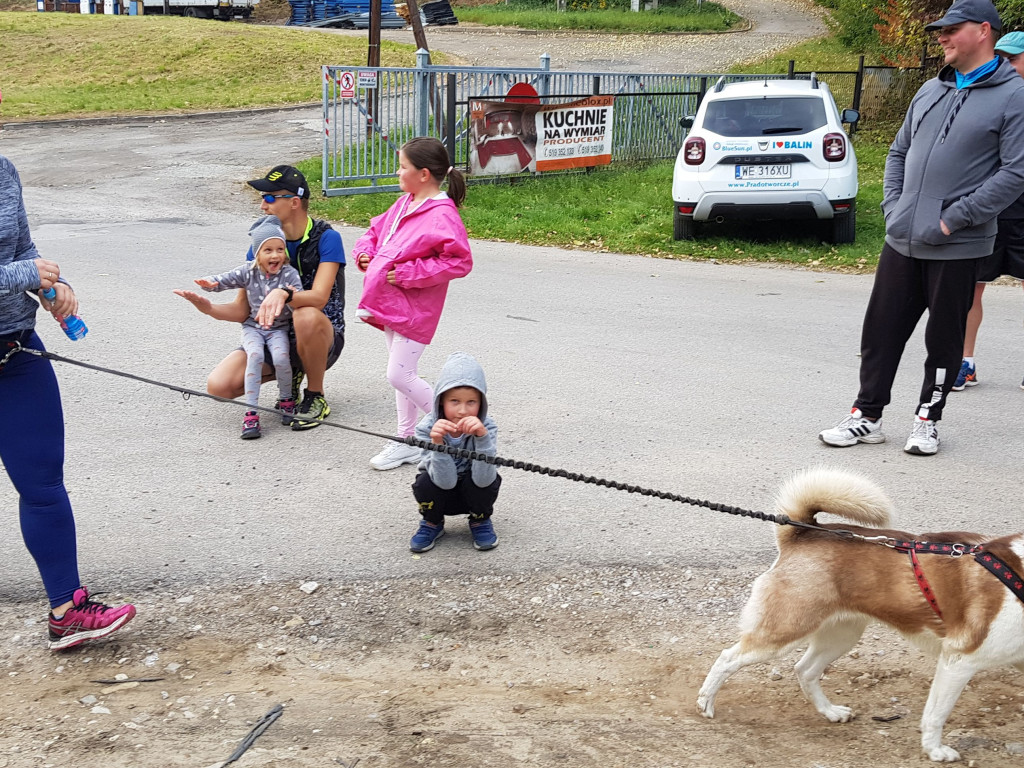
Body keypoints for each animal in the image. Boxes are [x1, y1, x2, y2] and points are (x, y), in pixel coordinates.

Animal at [696, 466, 1024, 761]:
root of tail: (803, 532)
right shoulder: (958, 661)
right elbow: (935, 715)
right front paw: (935, 751)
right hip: (784, 630)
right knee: (728, 658)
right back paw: (705, 702)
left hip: (842, 634)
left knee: (805, 670)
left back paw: (829, 712)